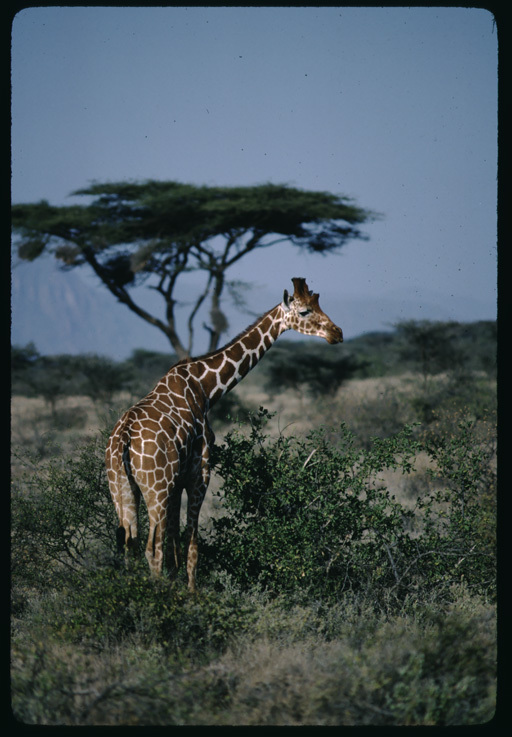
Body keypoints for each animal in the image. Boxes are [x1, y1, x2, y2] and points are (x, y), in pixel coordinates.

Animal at [104, 278, 342, 592]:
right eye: (304, 311)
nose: (337, 333)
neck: (206, 388)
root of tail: (123, 439)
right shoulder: (199, 472)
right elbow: (191, 541)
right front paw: (192, 593)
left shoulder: (178, 480)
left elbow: (176, 542)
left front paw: (178, 586)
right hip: (156, 487)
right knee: (151, 548)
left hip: (122, 487)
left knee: (129, 545)